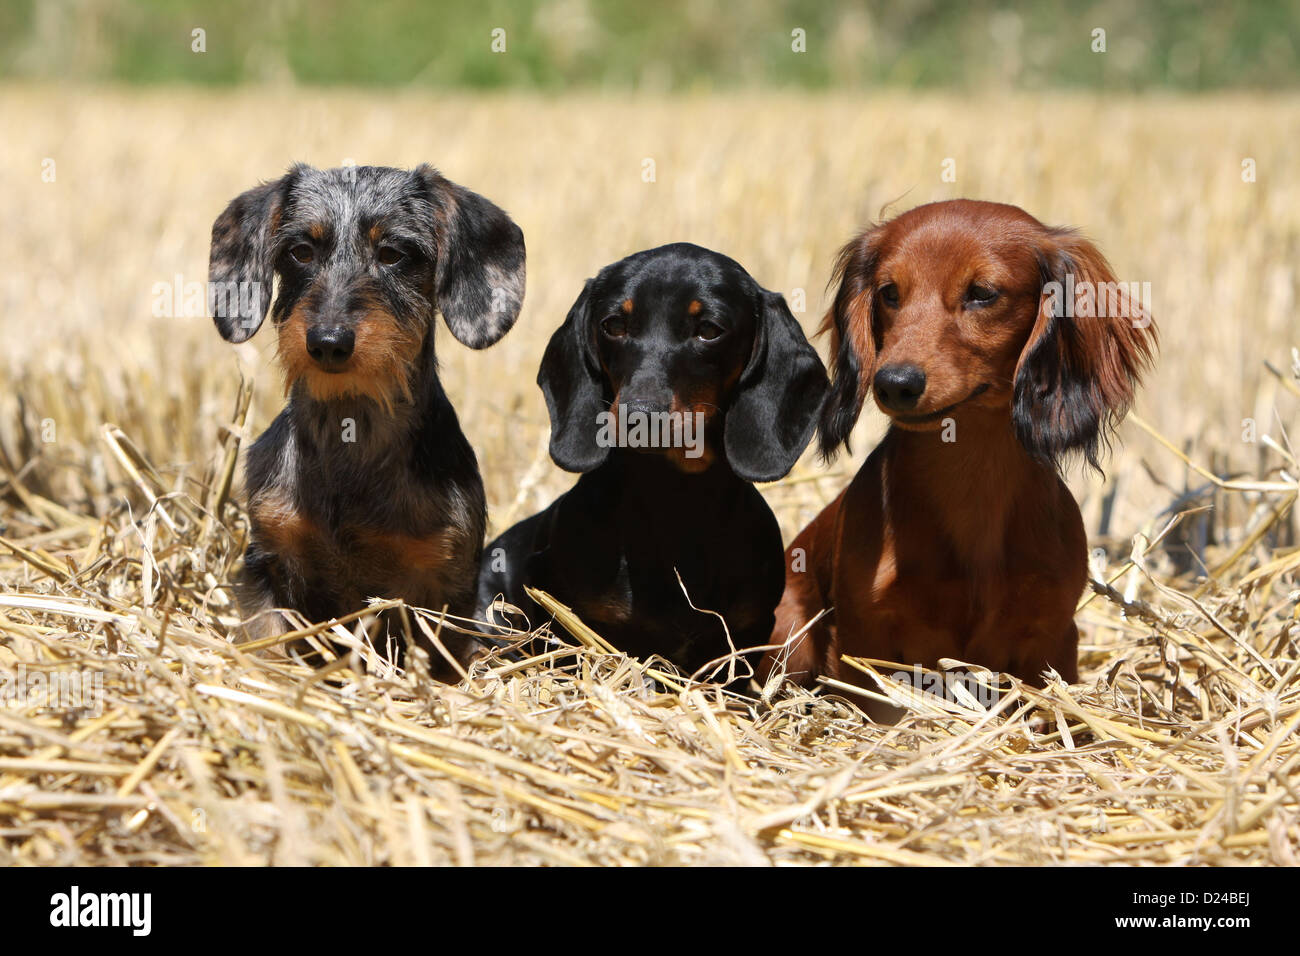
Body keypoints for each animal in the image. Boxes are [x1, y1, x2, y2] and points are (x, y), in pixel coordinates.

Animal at [208, 162, 522, 671]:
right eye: (301, 251)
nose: (328, 341)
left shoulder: (443, 587)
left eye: (393, 253)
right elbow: (267, 640)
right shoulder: (266, 561)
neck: (351, 436)